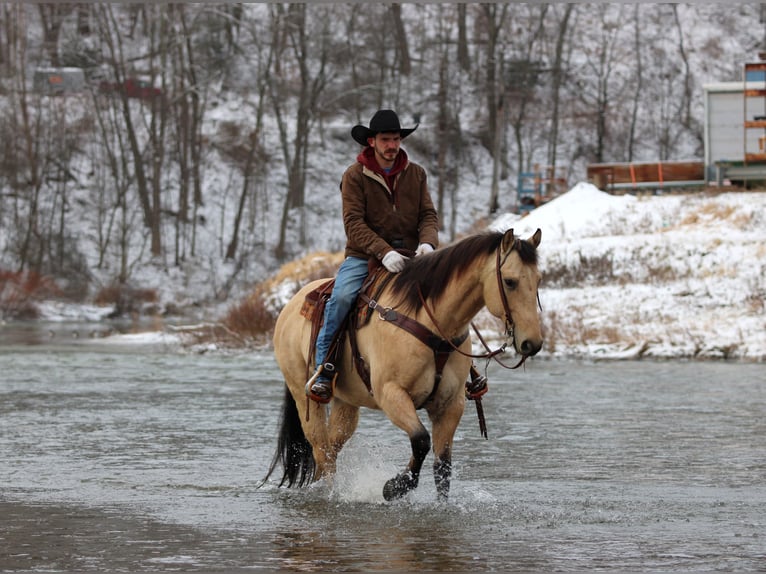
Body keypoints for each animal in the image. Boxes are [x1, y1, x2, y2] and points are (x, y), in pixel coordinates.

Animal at [265, 228, 543, 501]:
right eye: (510, 281)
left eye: (538, 280)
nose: (532, 343)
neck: (432, 324)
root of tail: (289, 306)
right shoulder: (391, 394)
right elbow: (420, 440)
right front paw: (395, 486)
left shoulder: (450, 404)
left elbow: (443, 466)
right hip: (303, 394)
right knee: (320, 448)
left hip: (347, 402)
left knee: (332, 447)